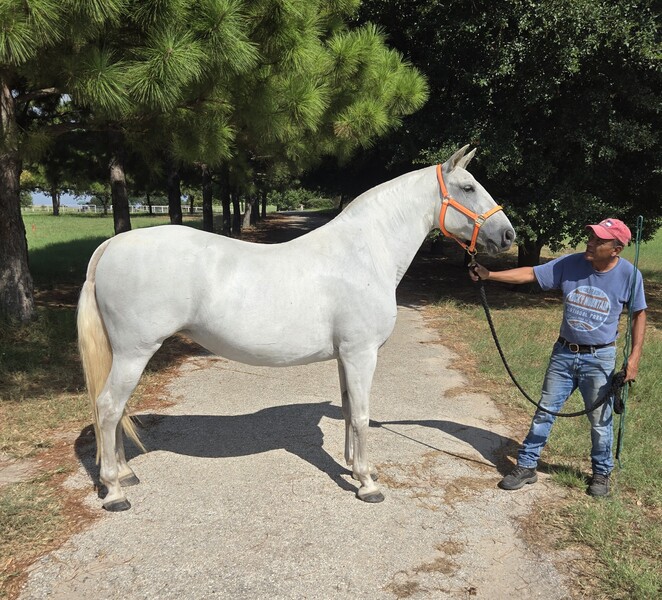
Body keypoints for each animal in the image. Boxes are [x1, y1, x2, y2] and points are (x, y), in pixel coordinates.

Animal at [77, 145, 515, 511]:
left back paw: (126, 475)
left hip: (126, 355)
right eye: (468, 187)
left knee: (115, 411)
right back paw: (114, 491)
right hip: (135, 352)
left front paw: (355, 467)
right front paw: (368, 485)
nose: (508, 235)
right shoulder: (362, 354)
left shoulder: (346, 356)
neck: (364, 252)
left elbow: (349, 408)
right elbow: (361, 414)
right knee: (108, 408)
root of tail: (112, 245)